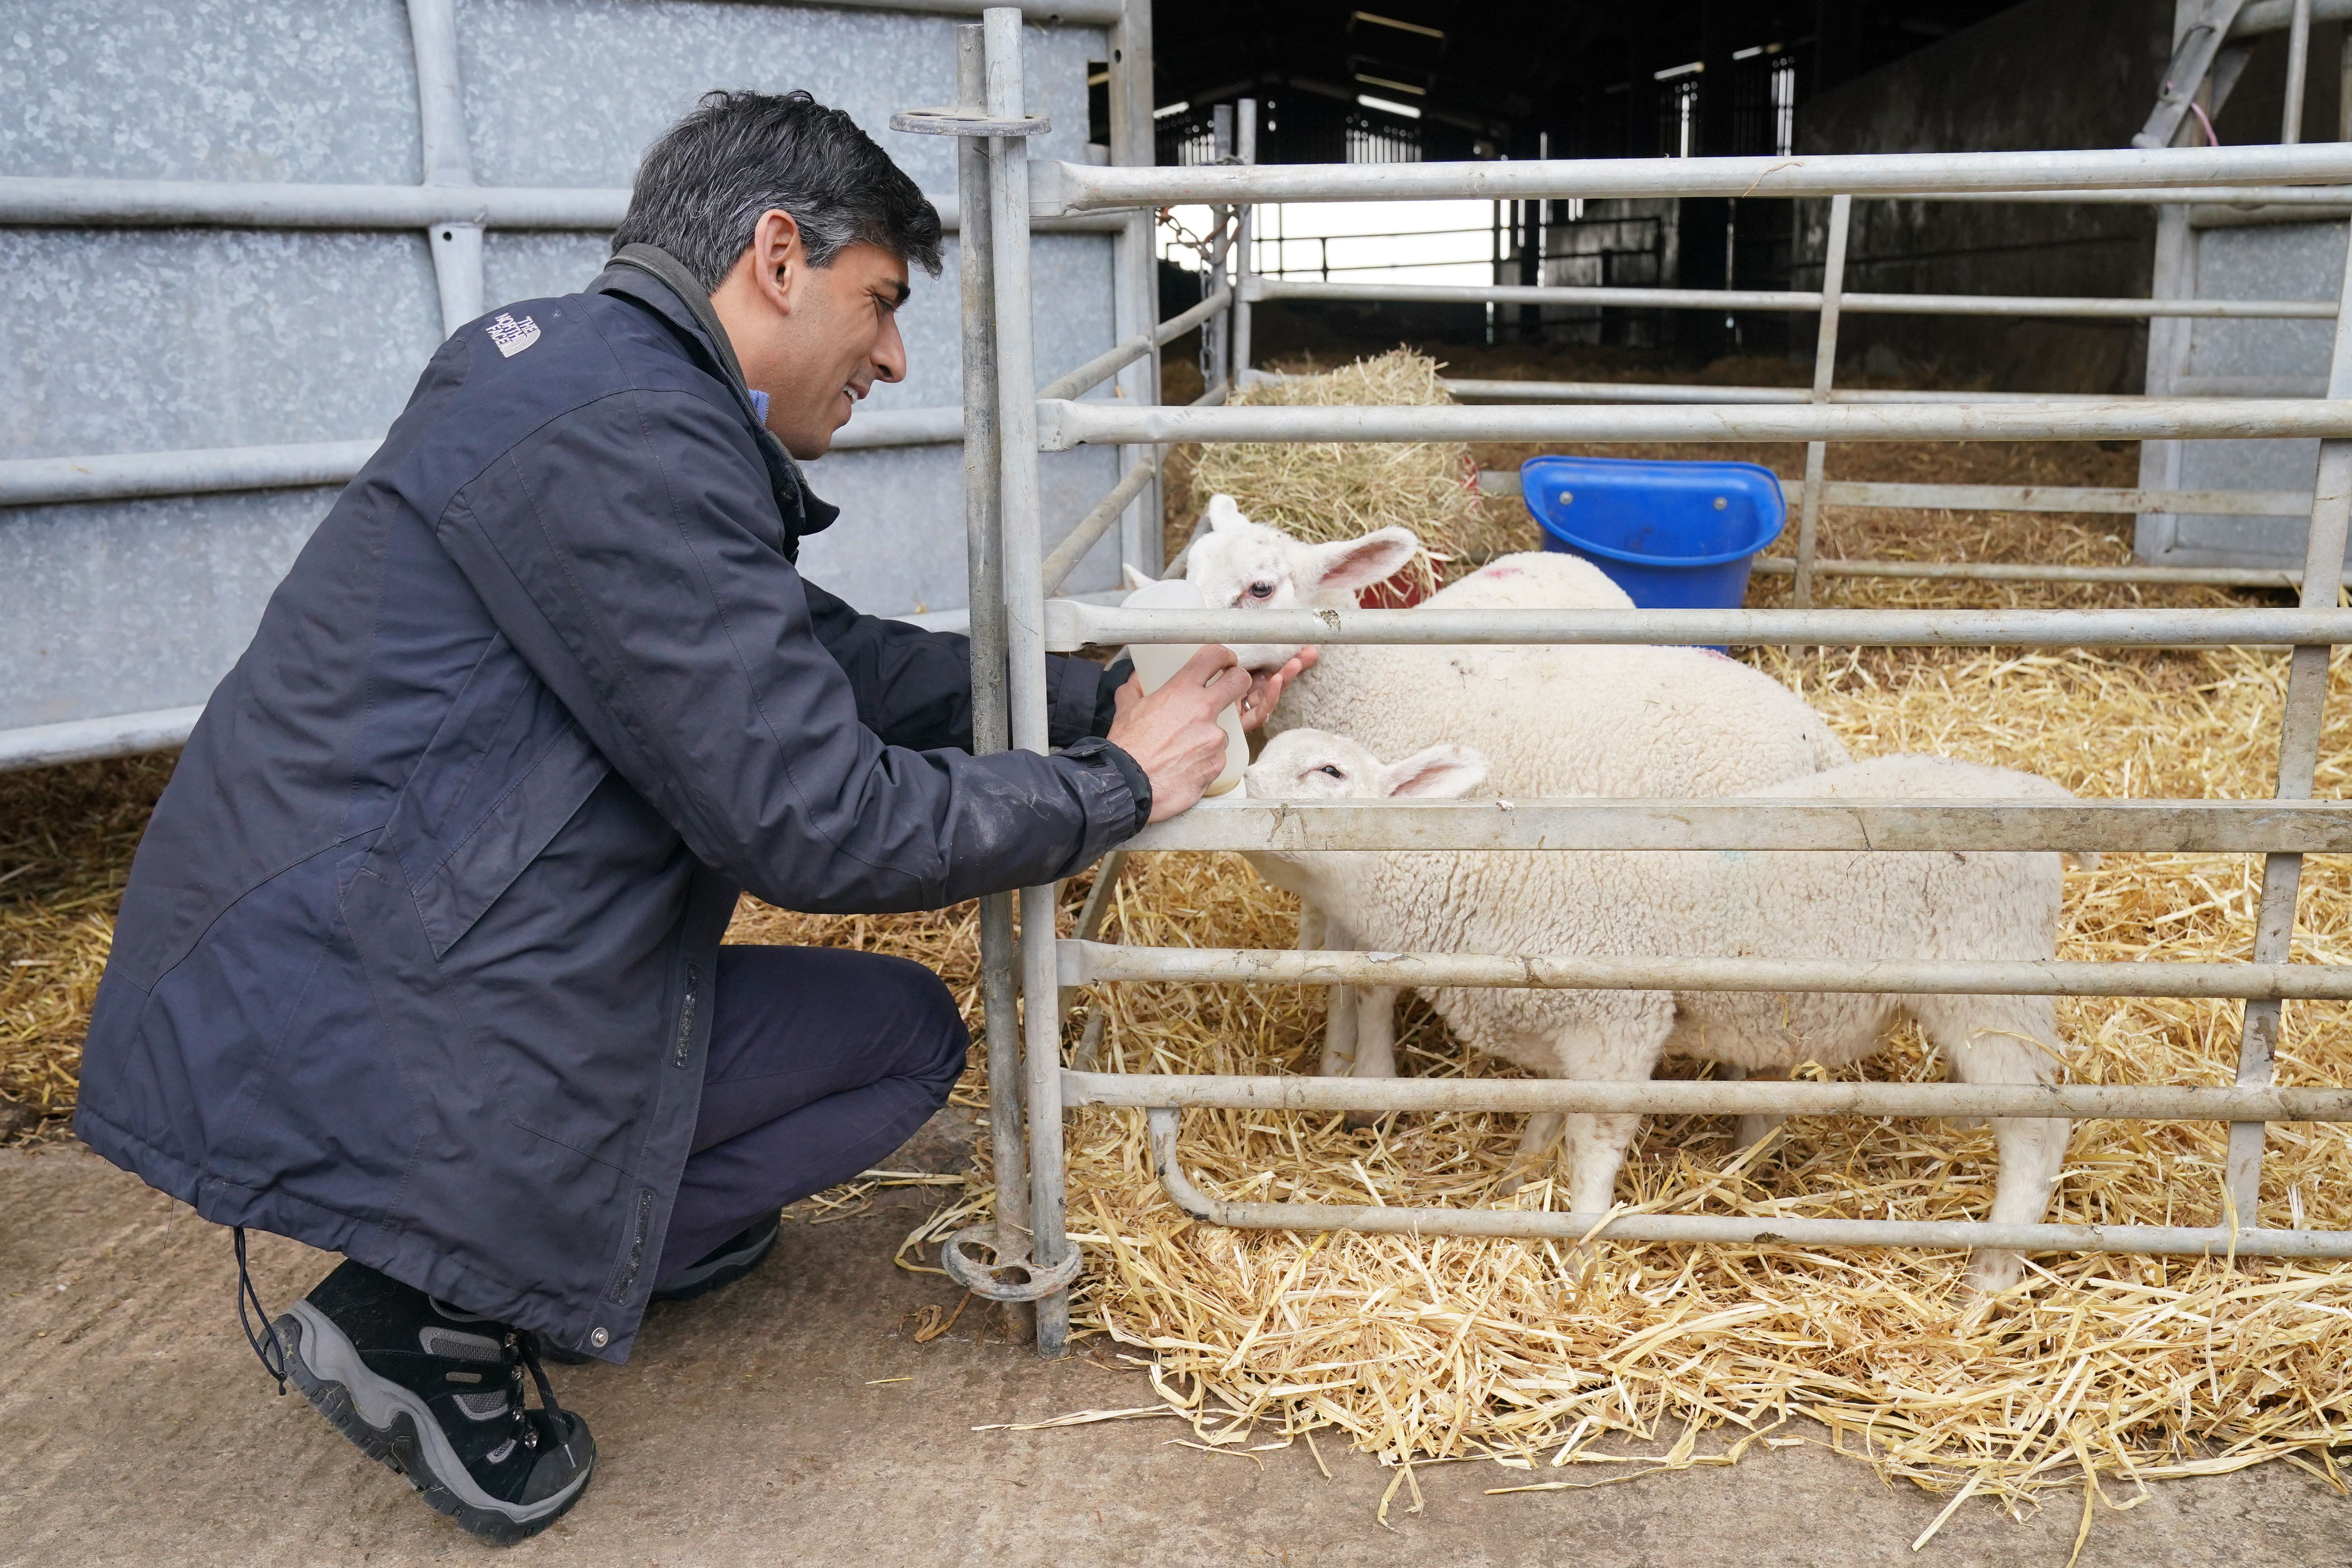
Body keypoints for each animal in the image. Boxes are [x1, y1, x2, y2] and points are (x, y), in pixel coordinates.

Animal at [1185, 494, 1844, 1105]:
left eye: (1261, 588)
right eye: (1192, 568)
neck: (1374, 684)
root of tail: (1814, 733)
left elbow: (1371, 984)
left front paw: (1366, 1078)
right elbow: (1334, 967)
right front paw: (1334, 1061)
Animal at [1251, 729, 2079, 1297]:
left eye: (1328, 771)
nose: (1239, 797)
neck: (1477, 876)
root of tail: (2037, 798)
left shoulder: (1619, 1021)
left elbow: (1593, 1146)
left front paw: (1582, 1254)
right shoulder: (1561, 1027)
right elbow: (1546, 1119)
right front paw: (1515, 1190)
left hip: (1989, 988)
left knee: (2039, 1129)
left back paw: (1991, 1276)